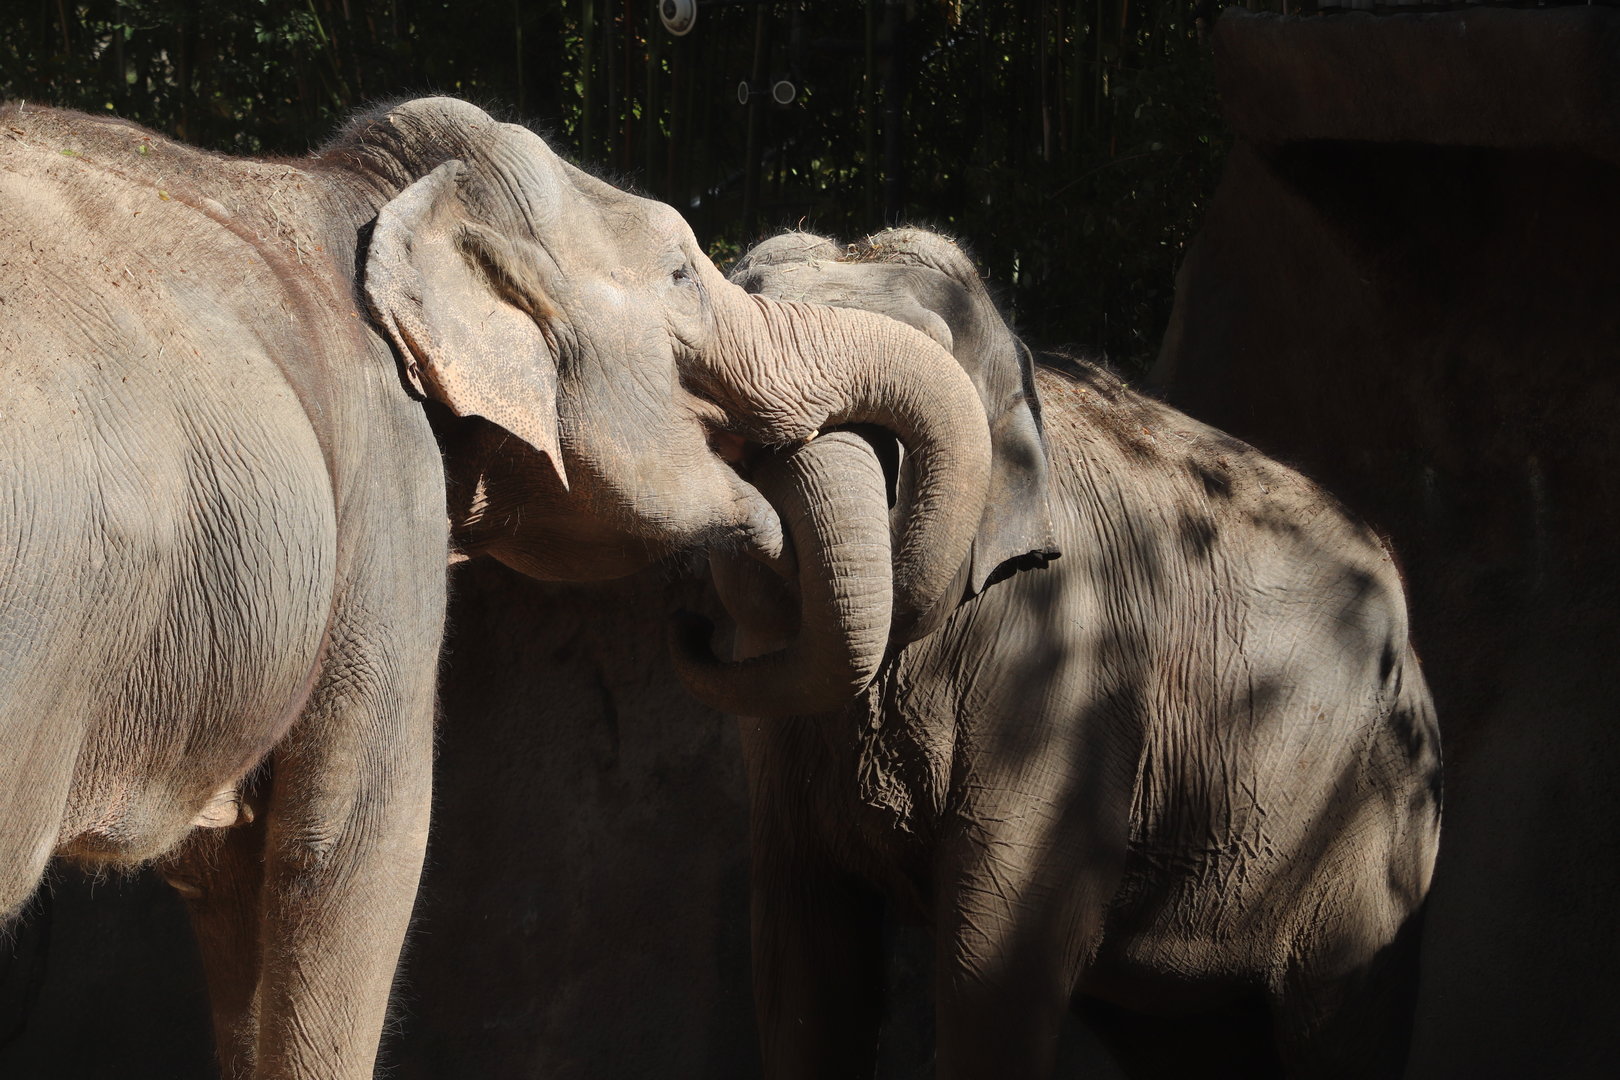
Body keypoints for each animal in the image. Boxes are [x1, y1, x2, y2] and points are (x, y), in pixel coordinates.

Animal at [0, 102, 991, 1079]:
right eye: (681, 272)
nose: (695, 623)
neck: (365, 193)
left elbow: (231, 875)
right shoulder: (388, 492)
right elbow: (356, 848)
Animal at [678, 228, 1443, 1079]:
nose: (689, 624)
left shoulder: (1070, 670)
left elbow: (1000, 961)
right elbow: (806, 964)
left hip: (1380, 820)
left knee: (1340, 1024)